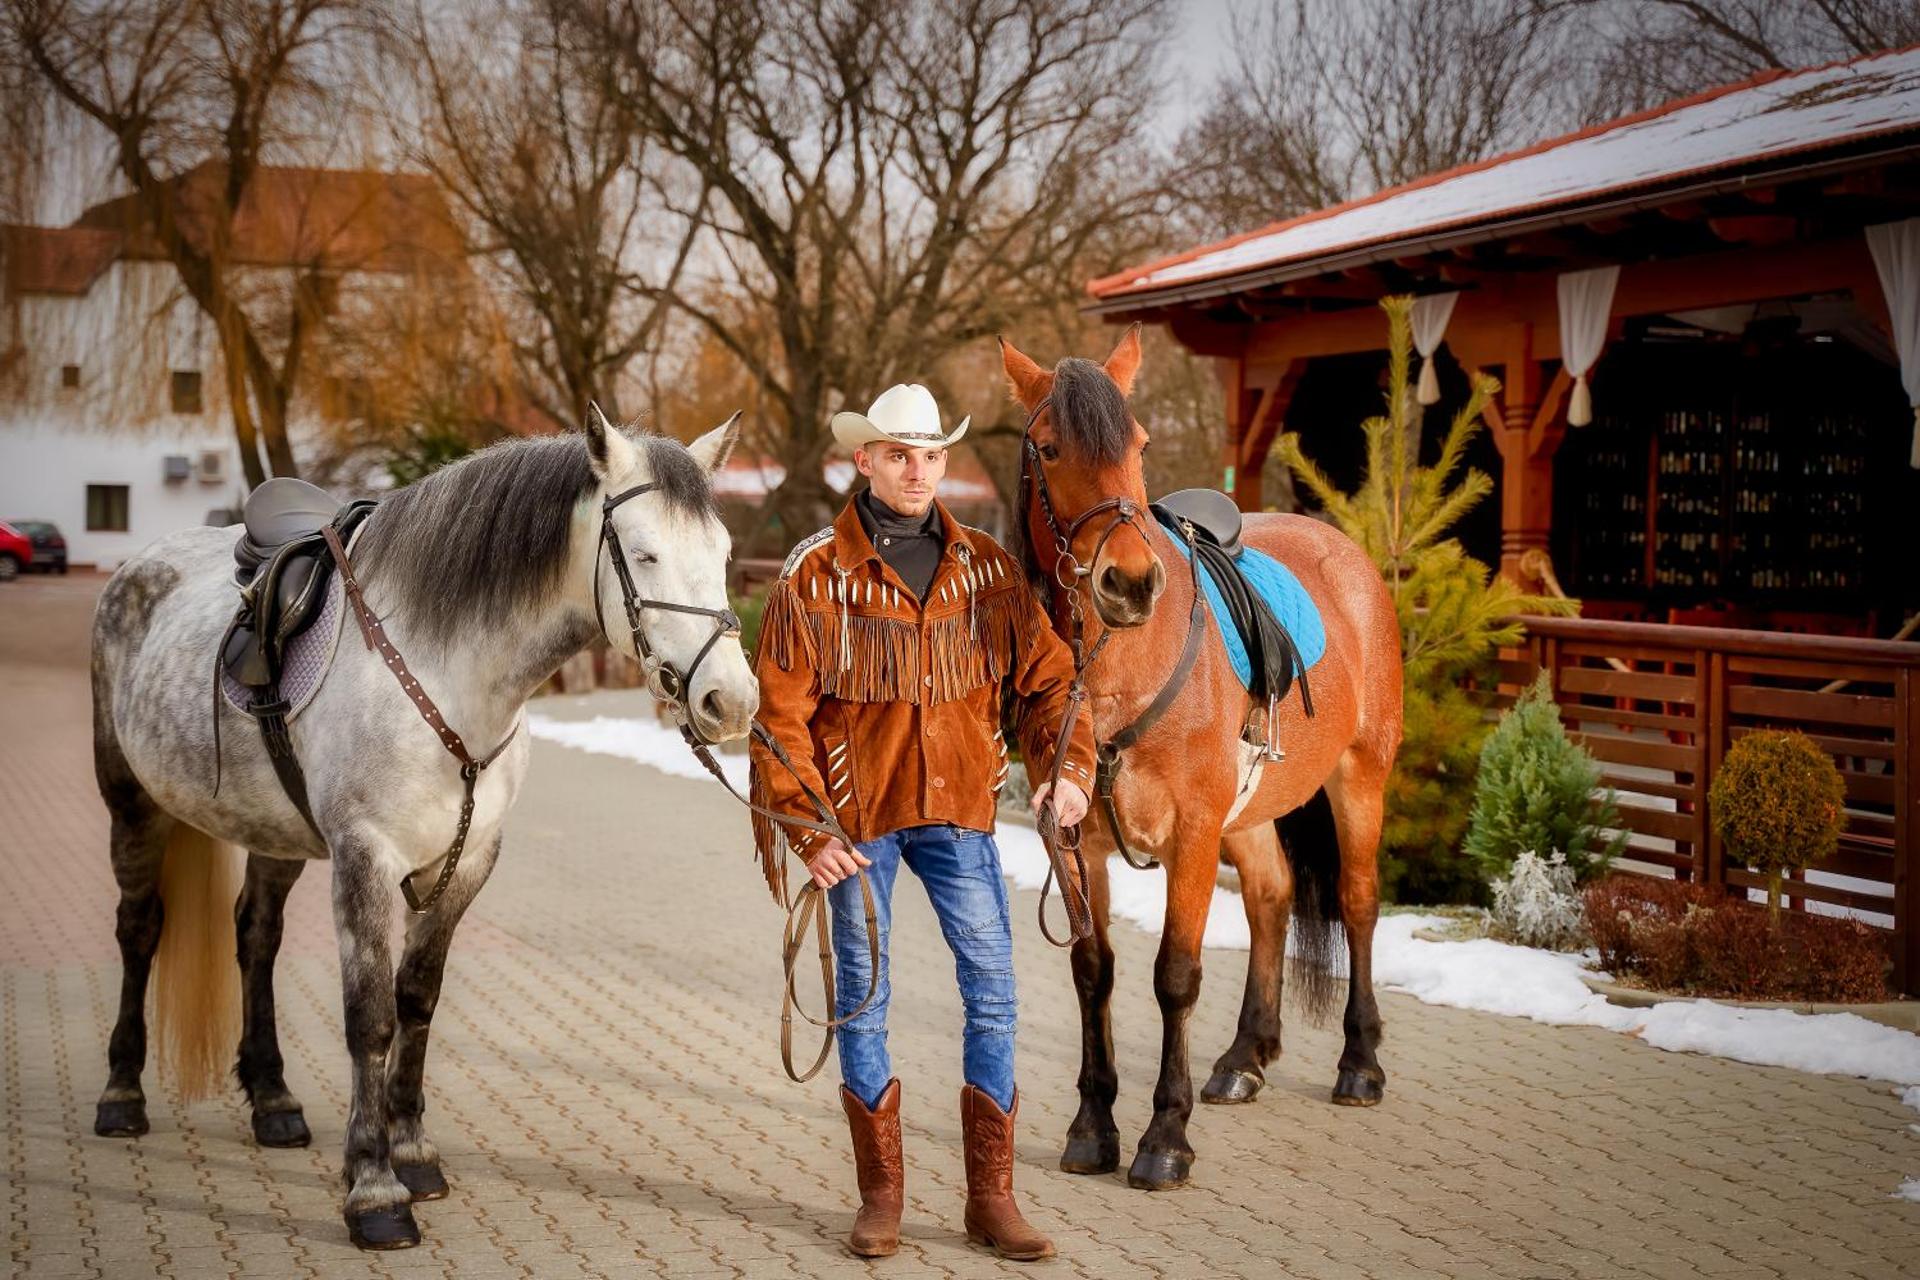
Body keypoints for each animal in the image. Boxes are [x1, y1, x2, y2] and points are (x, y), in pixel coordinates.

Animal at [87, 408, 758, 1249]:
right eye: (643, 553)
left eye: (725, 554)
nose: (731, 703)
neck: (443, 668)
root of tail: (139, 566)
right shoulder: (366, 859)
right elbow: (370, 1018)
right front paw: (374, 1191)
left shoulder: (466, 863)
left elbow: (417, 1000)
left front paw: (410, 1154)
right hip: (131, 803)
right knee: (139, 928)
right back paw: (121, 1094)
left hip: (275, 831)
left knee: (256, 936)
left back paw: (273, 1101)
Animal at [997, 328, 1404, 1190]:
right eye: (1049, 448)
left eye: (1140, 446)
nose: (1128, 582)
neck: (1113, 671)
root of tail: (1343, 549)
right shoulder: (1073, 839)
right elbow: (1094, 969)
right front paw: (1094, 1125)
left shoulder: (1191, 834)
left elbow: (1174, 976)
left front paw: (1164, 1137)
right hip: (1248, 814)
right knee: (1271, 898)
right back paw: (1246, 1056)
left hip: (1359, 779)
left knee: (1356, 903)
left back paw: (1360, 1062)